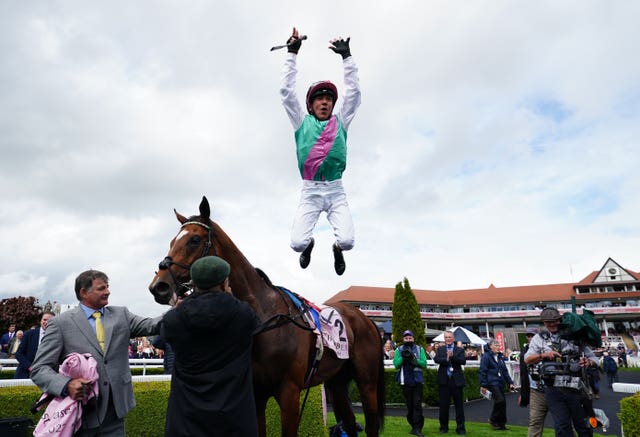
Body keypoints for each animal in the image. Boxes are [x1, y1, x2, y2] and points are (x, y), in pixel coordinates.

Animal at [149, 197, 384, 436]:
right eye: (171, 241)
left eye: (194, 240)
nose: (159, 286)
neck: (264, 316)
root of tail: (366, 319)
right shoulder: (257, 393)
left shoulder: (290, 392)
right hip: (337, 382)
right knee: (349, 422)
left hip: (367, 382)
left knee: (371, 424)